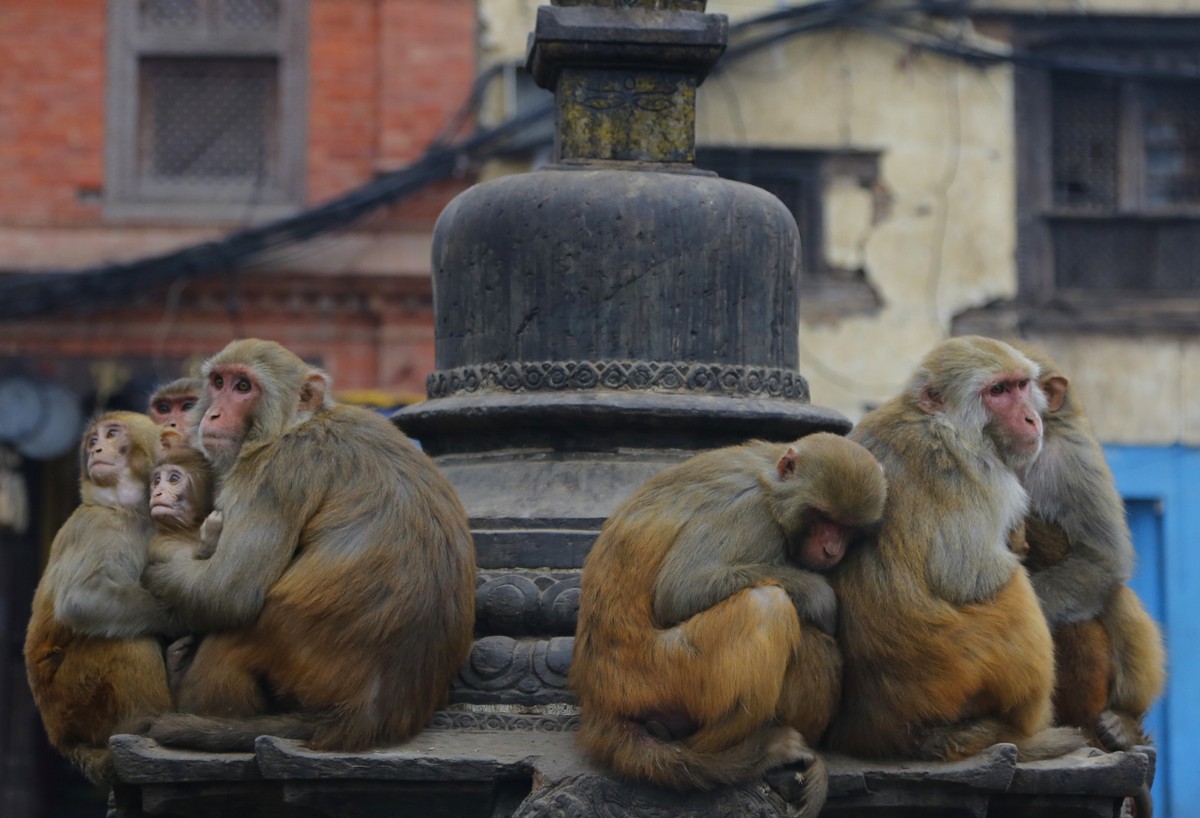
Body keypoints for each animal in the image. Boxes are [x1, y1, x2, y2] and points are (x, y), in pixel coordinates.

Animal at [22, 410, 175, 782]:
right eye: (93, 440)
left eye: (111, 434)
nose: (96, 449)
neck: (129, 512)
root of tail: (60, 738)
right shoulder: (95, 525)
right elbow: (81, 600)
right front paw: (175, 616)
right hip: (72, 699)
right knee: (127, 643)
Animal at [142, 333, 475, 748]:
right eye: (218, 382)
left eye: (243, 387)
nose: (213, 415)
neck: (296, 424)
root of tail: (368, 717)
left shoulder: (272, 472)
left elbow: (228, 593)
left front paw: (154, 573)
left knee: (229, 637)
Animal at [825, 333, 1089, 762]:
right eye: (997, 391)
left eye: (1020, 385)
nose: (1031, 419)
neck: (942, 422)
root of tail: (888, 733)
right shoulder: (985, 476)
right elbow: (969, 576)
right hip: (960, 674)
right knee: (1013, 589)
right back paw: (1027, 734)